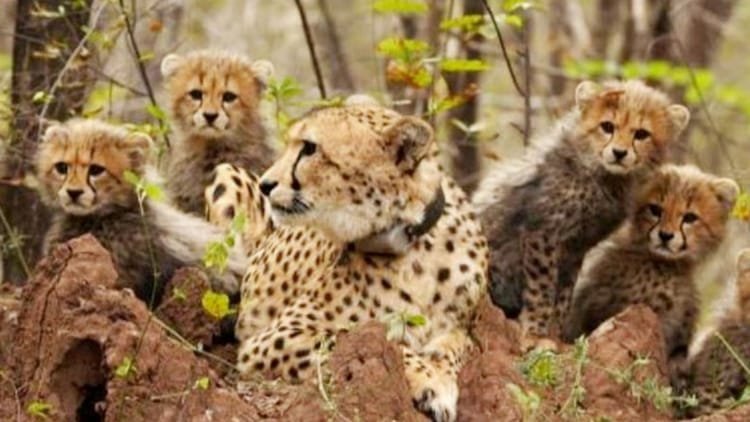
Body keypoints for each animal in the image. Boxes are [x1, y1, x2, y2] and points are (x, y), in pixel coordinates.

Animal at [204, 102, 488, 421]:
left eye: (310, 148)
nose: (266, 184)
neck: (412, 241)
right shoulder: (271, 338)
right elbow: (370, 341)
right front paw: (430, 381)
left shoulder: (462, 327)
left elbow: (455, 346)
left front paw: (439, 375)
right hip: (226, 174)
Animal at [472, 79, 690, 348]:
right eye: (607, 126)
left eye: (641, 134)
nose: (619, 153)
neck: (603, 176)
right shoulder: (543, 233)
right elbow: (542, 288)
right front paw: (535, 334)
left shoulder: (576, 246)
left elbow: (564, 293)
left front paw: (555, 333)